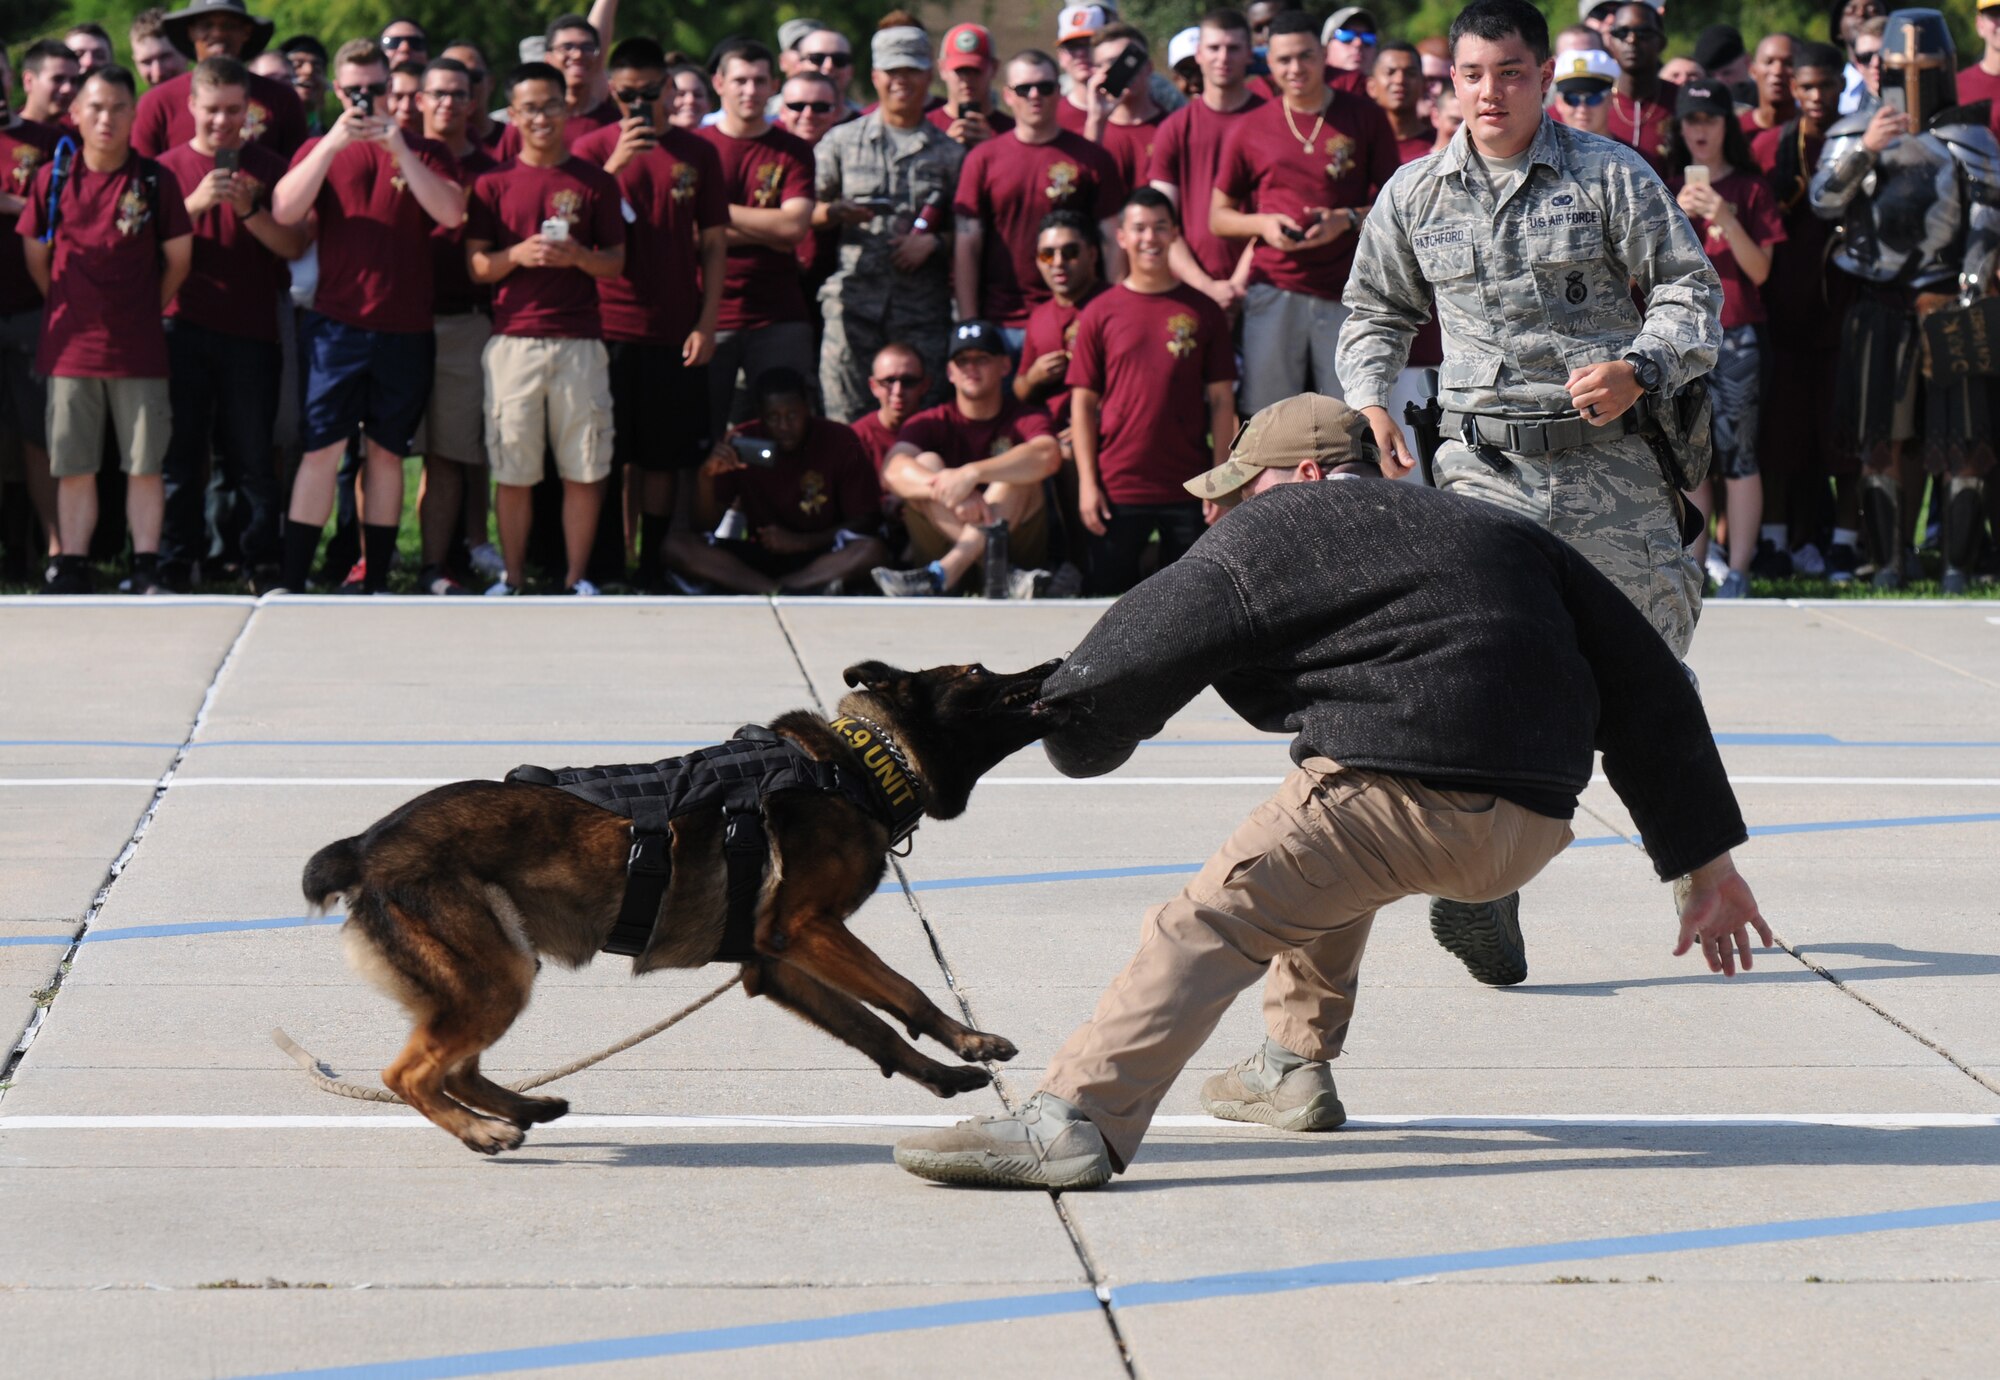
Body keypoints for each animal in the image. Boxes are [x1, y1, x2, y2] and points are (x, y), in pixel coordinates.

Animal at [298, 656, 1072, 1152]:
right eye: (977, 674)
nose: (1059, 660)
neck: (860, 765)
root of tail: (365, 847)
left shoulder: (776, 963)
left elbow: (873, 1029)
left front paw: (943, 1073)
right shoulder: (806, 929)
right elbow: (905, 989)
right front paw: (971, 1040)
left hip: (498, 972)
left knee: (455, 1065)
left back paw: (525, 1104)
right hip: (497, 975)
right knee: (409, 1072)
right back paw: (481, 1130)